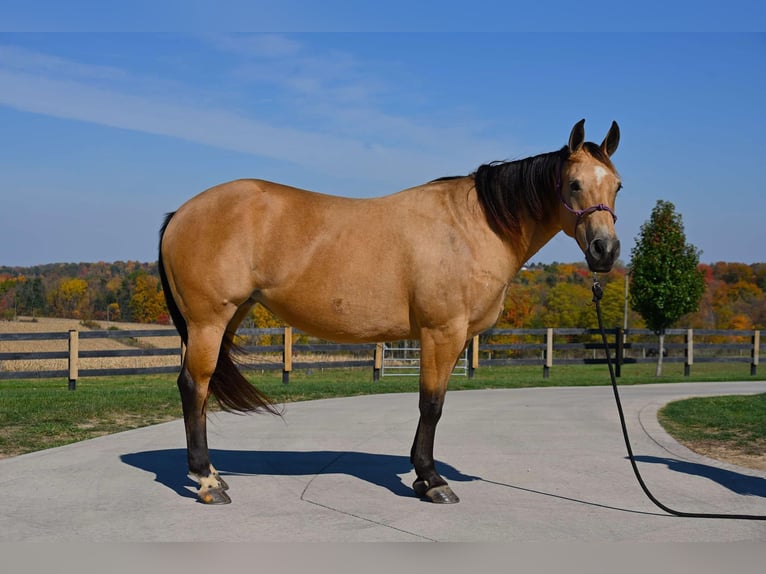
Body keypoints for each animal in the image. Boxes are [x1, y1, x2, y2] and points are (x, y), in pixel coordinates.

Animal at [158, 119, 624, 506]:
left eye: (617, 186)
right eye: (574, 184)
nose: (605, 251)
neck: (472, 226)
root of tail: (181, 213)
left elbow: (433, 403)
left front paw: (423, 477)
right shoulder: (442, 332)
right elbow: (431, 405)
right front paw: (431, 481)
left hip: (227, 318)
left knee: (202, 389)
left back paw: (214, 474)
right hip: (208, 322)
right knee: (193, 387)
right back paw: (207, 482)